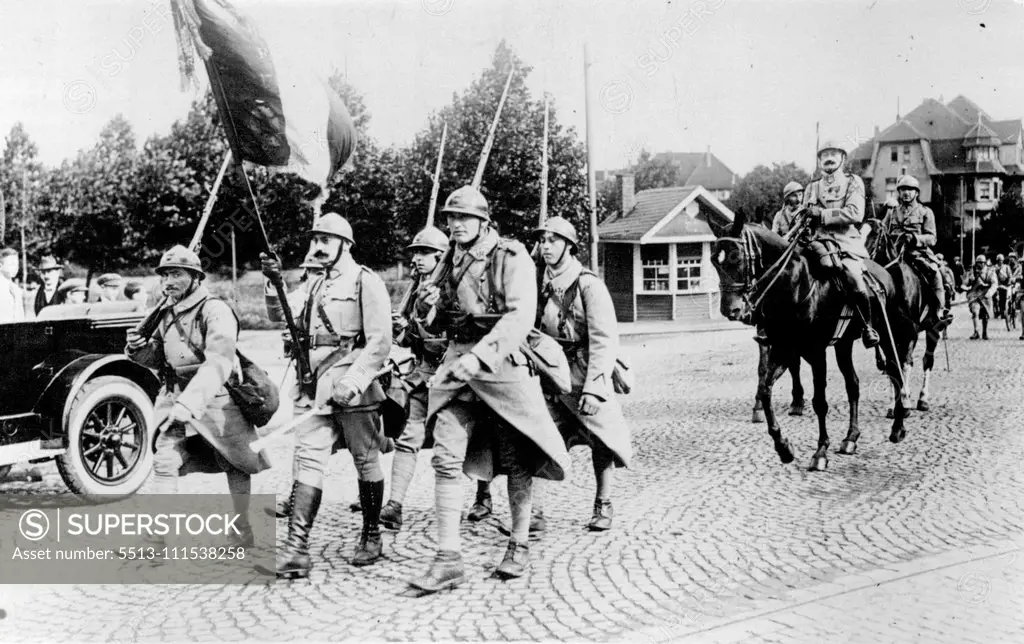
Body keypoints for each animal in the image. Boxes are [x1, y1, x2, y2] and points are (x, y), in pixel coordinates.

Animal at [712, 213, 913, 468]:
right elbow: (765, 390)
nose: (731, 310)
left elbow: (820, 402)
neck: (794, 285)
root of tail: (885, 273)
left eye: (736, 257)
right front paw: (783, 446)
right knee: (853, 384)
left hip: (888, 335)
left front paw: (820, 452)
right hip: (843, 345)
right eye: (714, 261)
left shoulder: (816, 352)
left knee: (896, 372)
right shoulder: (783, 348)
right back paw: (851, 438)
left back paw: (898, 426)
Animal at [864, 213, 942, 413]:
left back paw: (923, 399)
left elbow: (905, 363)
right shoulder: (885, 333)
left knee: (927, 360)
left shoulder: (911, 332)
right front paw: (893, 403)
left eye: (874, 235)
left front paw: (905, 399)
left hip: (934, 329)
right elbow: (892, 365)